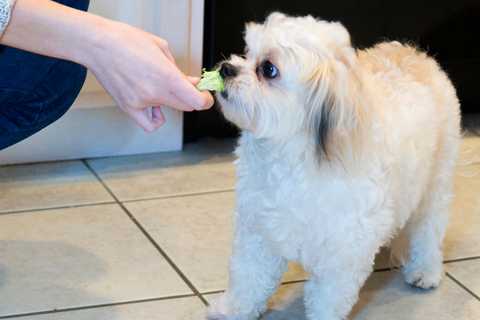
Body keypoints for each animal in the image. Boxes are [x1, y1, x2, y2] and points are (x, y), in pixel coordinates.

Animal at [208, 12, 464, 320]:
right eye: (247, 53)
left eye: (268, 69)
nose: (226, 68)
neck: (291, 160)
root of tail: (415, 53)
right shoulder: (257, 230)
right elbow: (248, 278)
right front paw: (232, 310)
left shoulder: (344, 252)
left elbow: (328, 298)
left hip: (434, 184)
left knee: (428, 229)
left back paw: (426, 271)